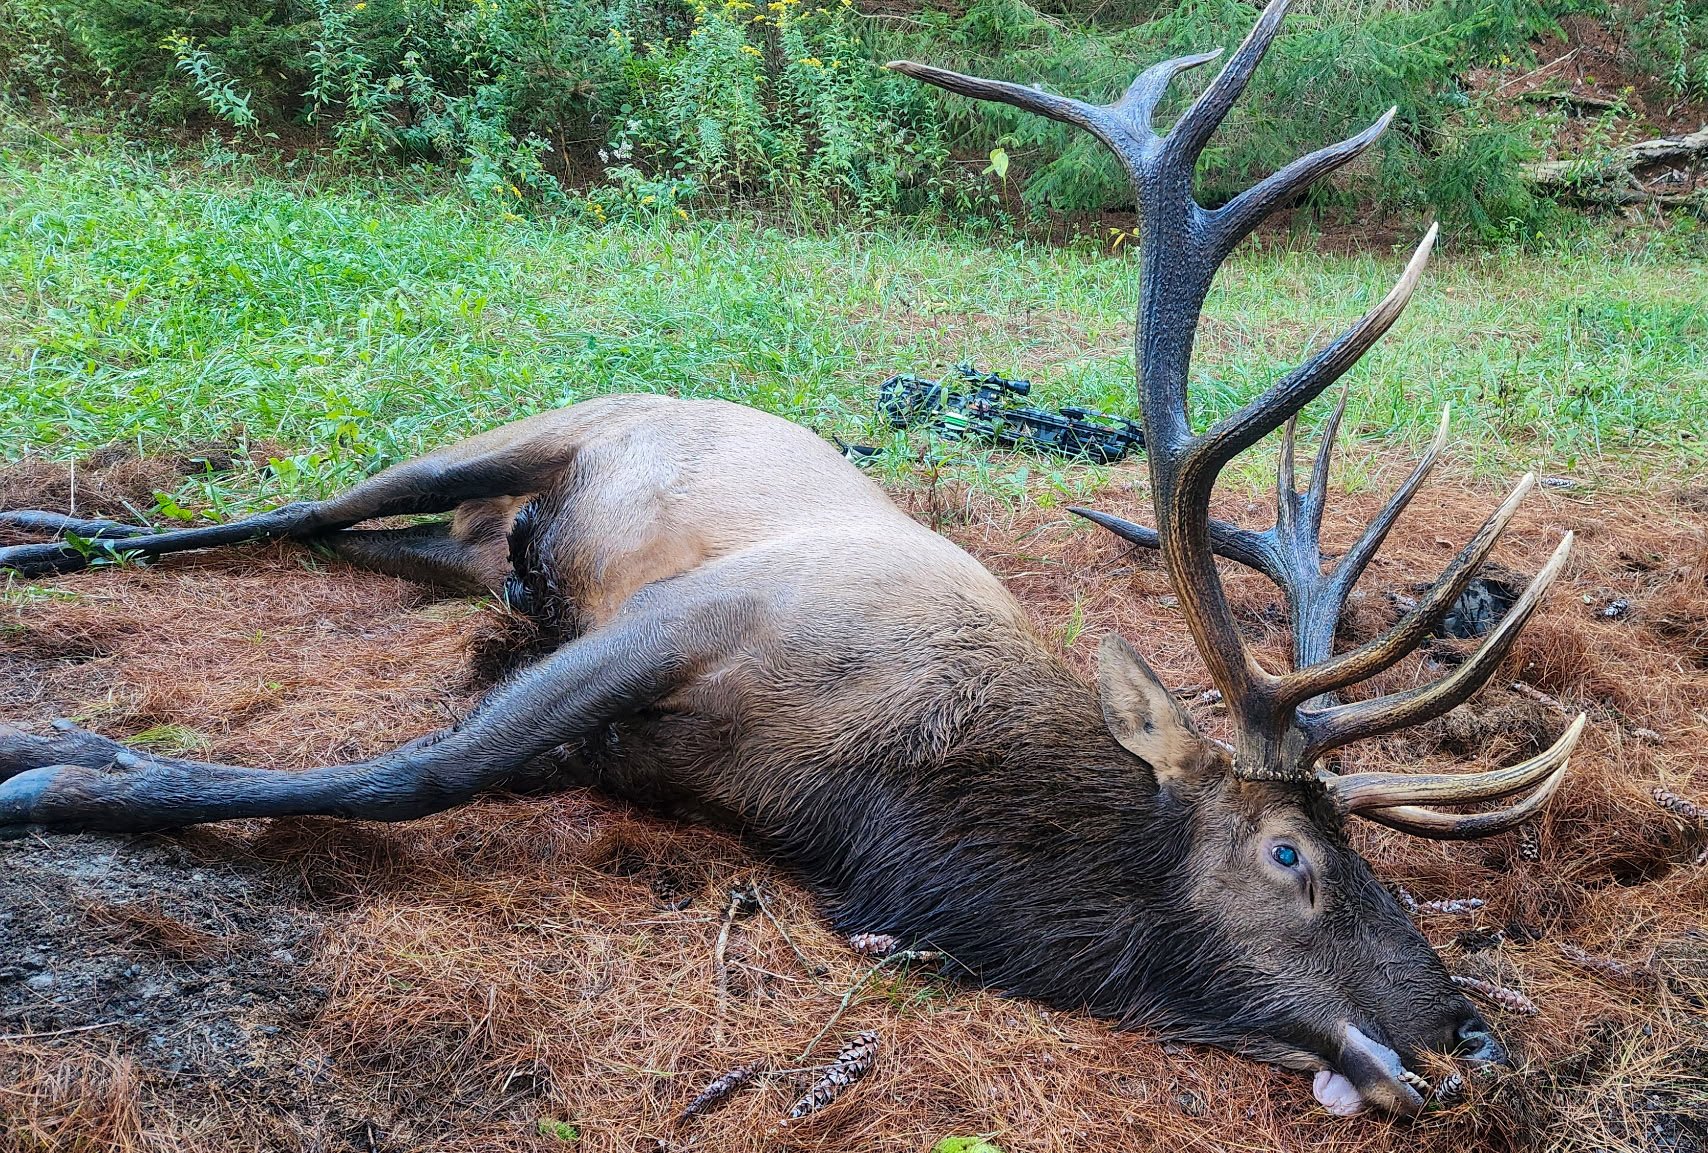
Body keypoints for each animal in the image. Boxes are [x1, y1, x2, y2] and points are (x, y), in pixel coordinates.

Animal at [0, 0, 1583, 1118]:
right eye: (1289, 852)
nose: (1472, 1031)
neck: (861, 795)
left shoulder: (630, 744)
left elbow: (444, 761)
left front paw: (79, 753)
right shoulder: (677, 622)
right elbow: (413, 773)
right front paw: (58, 765)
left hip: (465, 553)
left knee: (361, 543)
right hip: (513, 437)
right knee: (287, 514)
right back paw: (50, 541)